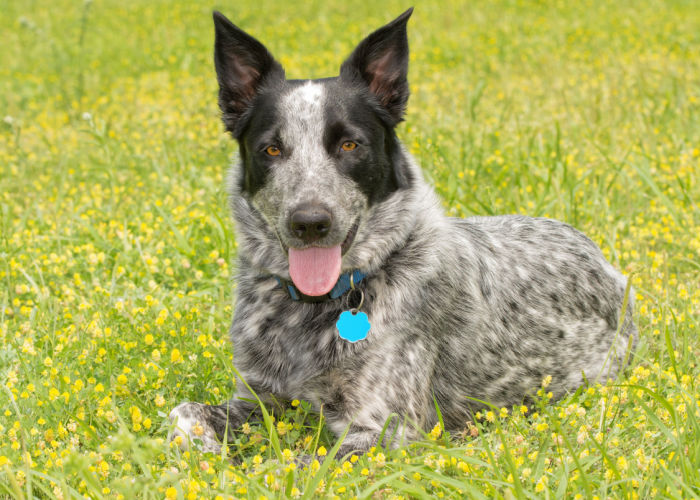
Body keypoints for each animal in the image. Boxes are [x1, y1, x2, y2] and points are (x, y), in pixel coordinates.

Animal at [168, 8, 636, 460]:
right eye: (271, 149)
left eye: (350, 145)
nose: (310, 222)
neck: (317, 307)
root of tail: (602, 260)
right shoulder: (257, 399)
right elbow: (184, 412)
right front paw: (205, 453)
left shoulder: (385, 430)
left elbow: (300, 466)